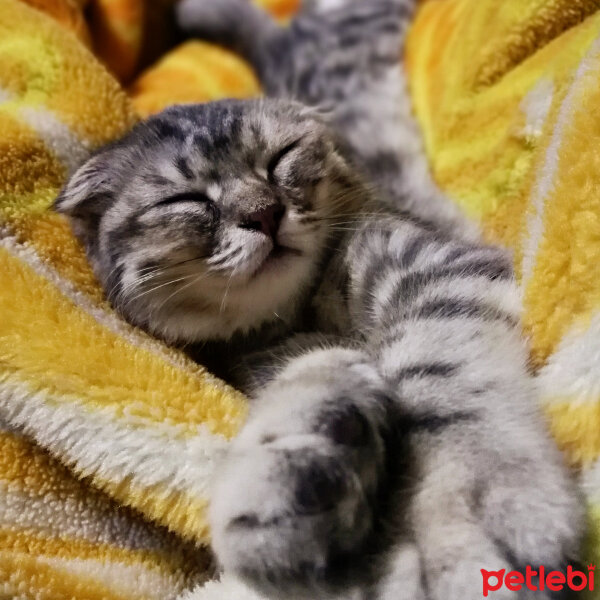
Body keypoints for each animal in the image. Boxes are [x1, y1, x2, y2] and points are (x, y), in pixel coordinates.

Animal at [54, 1, 584, 600]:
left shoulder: (429, 261)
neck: (298, 313)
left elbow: (440, 379)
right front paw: (303, 475)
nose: (263, 213)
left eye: (279, 159)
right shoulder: (264, 357)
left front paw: (469, 506)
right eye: (185, 200)